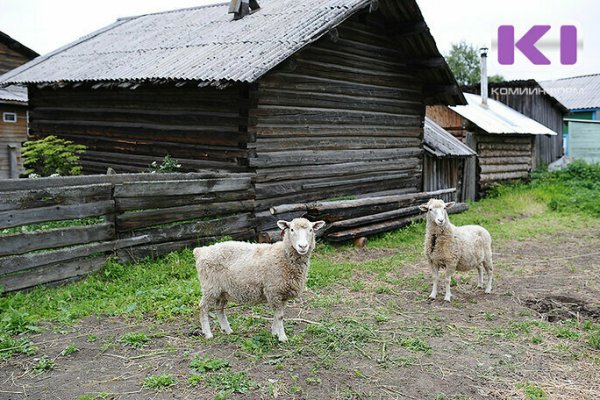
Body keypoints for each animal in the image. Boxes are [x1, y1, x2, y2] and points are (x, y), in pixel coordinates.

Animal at [192, 217, 324, 342]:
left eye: (311, 230)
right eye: (291, 229)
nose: (303, 246)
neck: (284, 255)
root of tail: (200, 251)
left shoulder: (283, 294)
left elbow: (277, 315)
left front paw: (274, 333)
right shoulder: (274, 290)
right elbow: (280, 316)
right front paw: (282, 337)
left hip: (223, 290)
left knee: (219, 309)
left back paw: (227, 330)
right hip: (210, 286)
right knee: (203, 308)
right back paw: (208, 334)